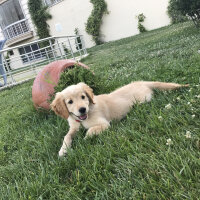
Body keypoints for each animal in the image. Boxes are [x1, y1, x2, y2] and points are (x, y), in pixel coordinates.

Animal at [50, 81, 188, 156]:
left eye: (83, 97)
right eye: (70, 102)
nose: (82, 109)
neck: (84, 118)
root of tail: (141, 82)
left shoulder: (104, 124)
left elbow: (90, 130)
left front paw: (84, 139)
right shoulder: (74, 126)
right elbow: (67, 136)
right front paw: (63, 150)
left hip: (142, 100)